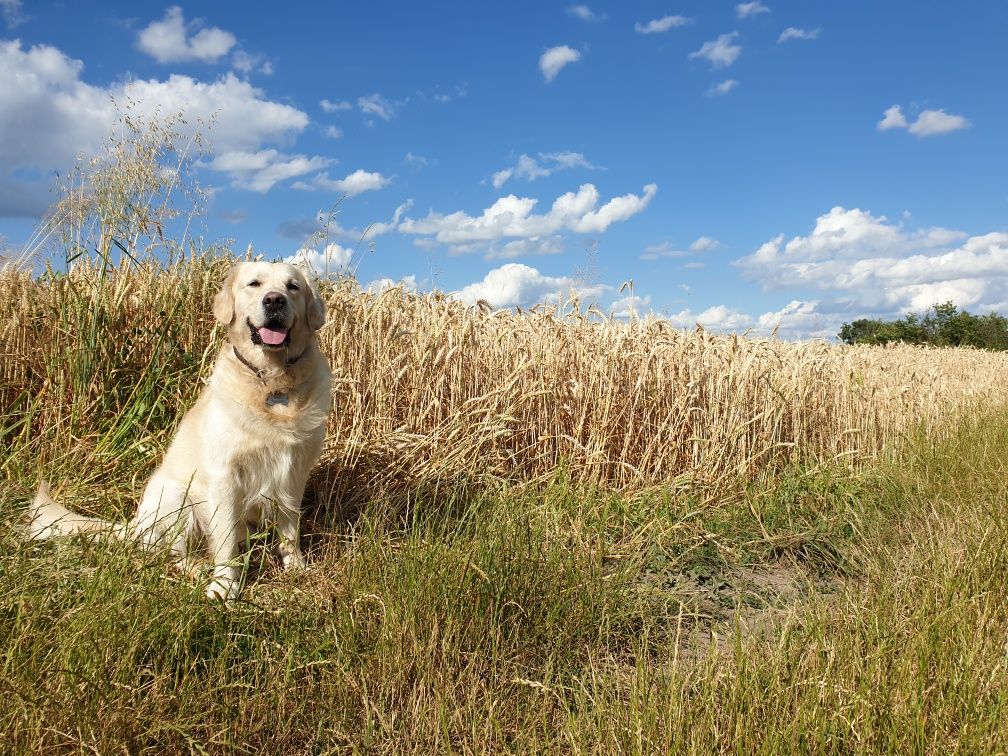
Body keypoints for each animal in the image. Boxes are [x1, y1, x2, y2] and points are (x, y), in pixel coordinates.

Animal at [25, 262, 332, 604]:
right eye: (254, 283)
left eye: (293, 287)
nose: (275, 300)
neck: (272, 383)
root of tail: (134, 526)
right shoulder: (225, 474)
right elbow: (225, 538)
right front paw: (224, 584)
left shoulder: (294, 470)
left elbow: (290, 527)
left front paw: (296, 567)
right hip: (174, 498)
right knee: (172, 555)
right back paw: (199, 569)